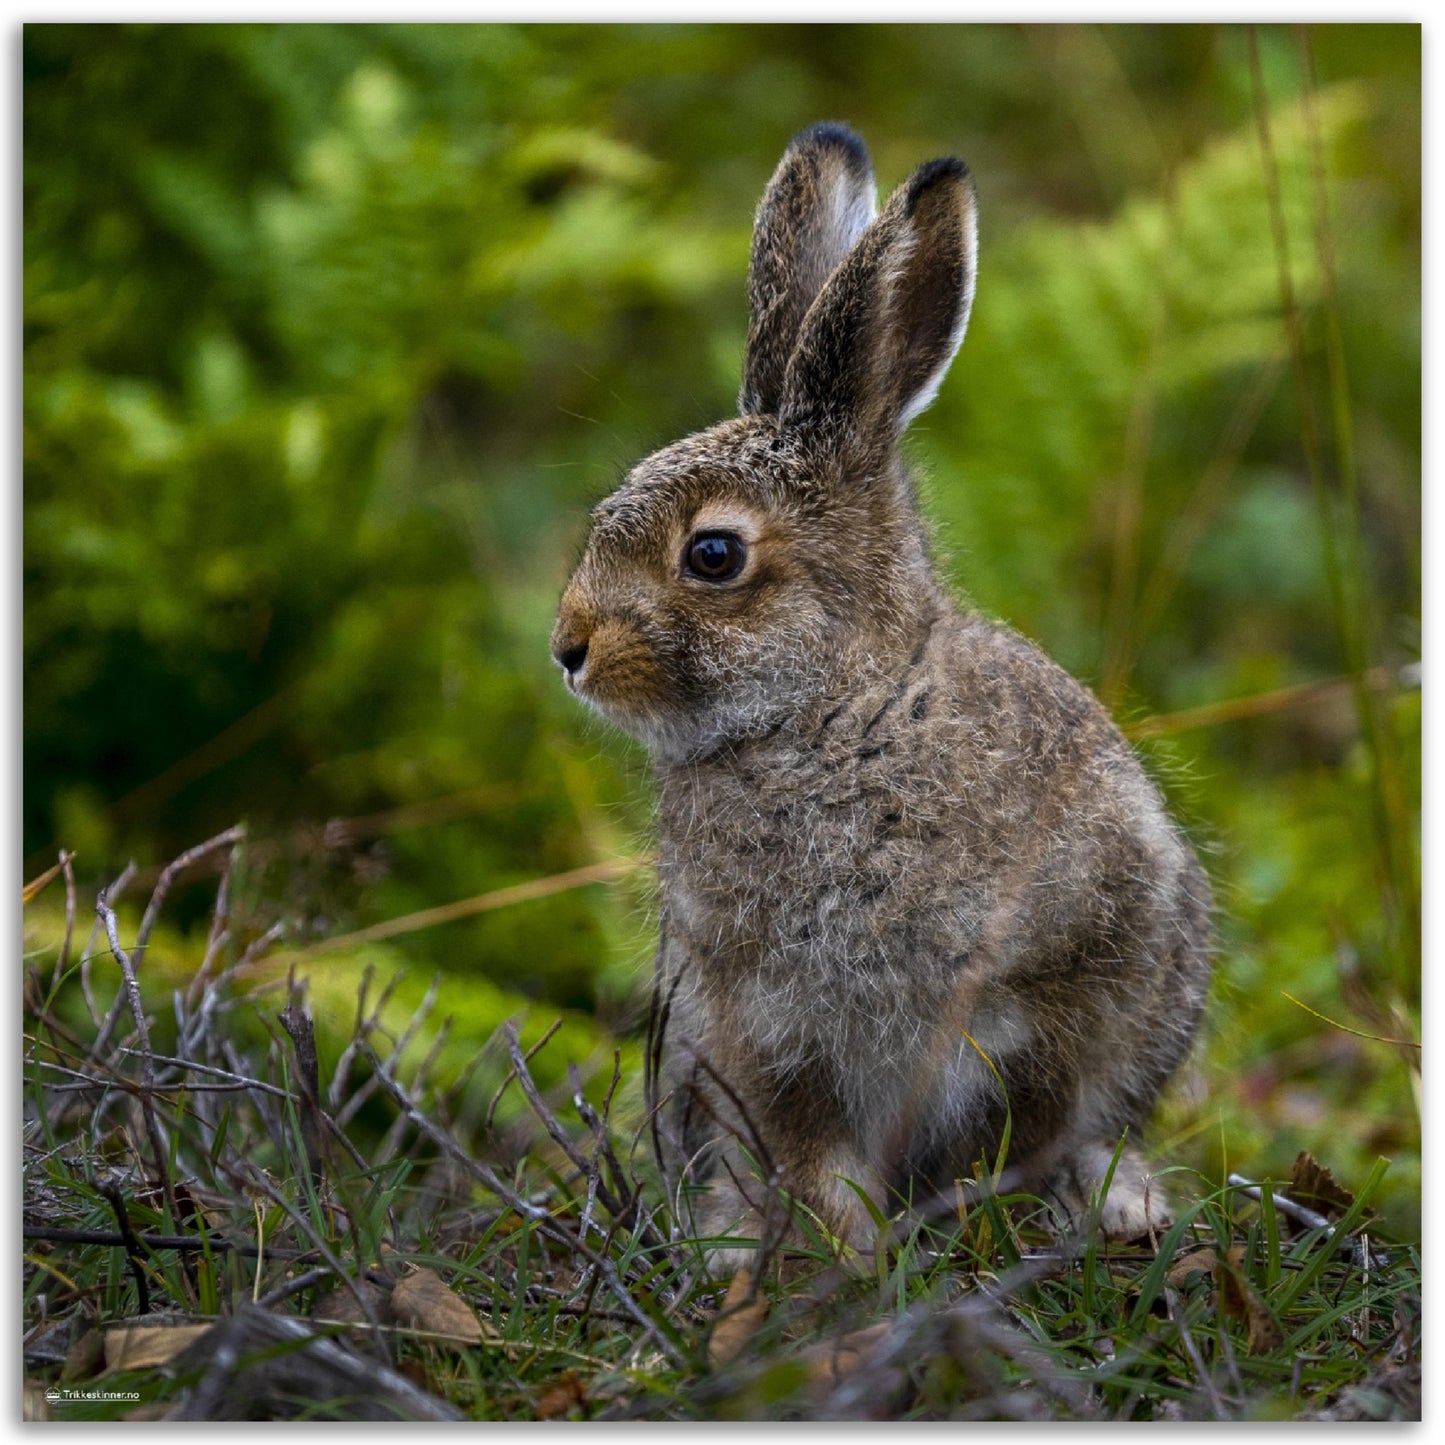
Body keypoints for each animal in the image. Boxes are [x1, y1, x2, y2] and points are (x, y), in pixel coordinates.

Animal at [551, 122, 1213, 1272]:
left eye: (712, 554)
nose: (567, 646)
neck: (835, 709)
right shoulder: (762, 1026)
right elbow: (808, 1151)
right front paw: (833, 1253)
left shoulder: (1056, 984)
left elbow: (1035, 1121)